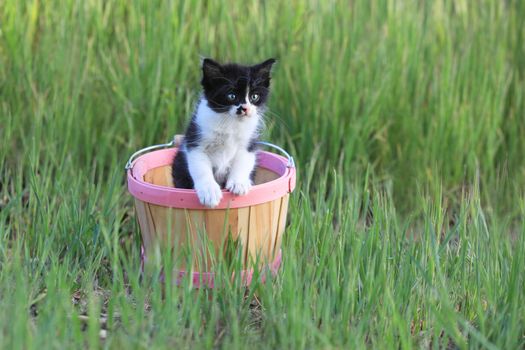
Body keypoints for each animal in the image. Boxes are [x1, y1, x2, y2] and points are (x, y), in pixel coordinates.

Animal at [173, 57, 278, 208]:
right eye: (231, 96)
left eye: (254, 97)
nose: (245, 108)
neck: (230, 123)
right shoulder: (195, 141)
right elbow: (201, 167)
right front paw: (209, 192)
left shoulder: (249, 143)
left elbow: (243, 161)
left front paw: (239, 183)